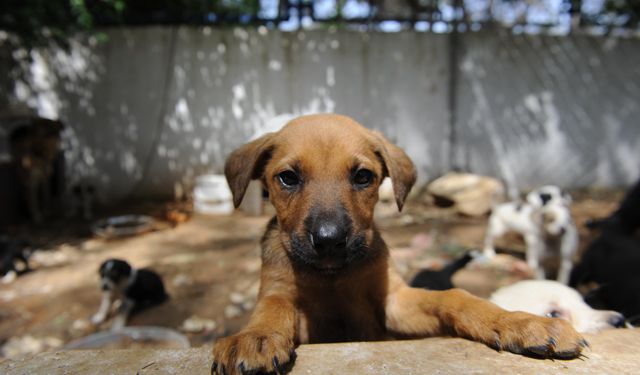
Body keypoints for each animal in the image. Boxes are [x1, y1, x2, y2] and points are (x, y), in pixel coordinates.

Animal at [212, 114, 588, 375]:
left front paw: (520, 322)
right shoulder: (283, 294)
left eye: (363, 176)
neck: (333, 276)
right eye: (288, 178)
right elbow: (273, 306)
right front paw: (256, 337)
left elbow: (456, 297)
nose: (330, 241)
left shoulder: (394, 302)